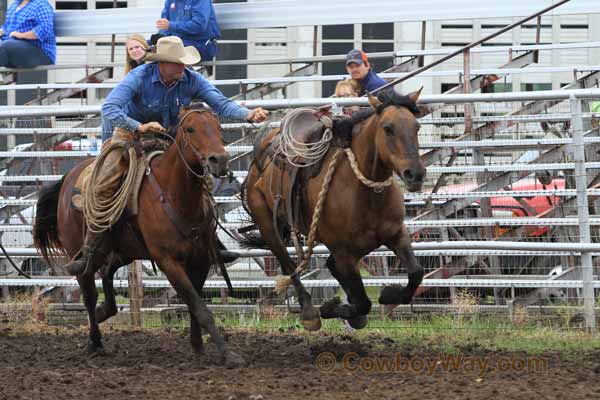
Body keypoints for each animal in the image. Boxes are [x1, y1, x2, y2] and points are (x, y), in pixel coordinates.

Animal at [32, 105, 243, 366]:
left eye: (218, 127)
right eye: (190, 129)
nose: (219, 160)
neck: (174, 194)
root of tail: (67, 178)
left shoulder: (201, 261)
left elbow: (195, 306)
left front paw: (198, 346)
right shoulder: (168, 262)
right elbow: (199, 307)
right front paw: (228, 354)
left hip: (124, 250)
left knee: (108, 272)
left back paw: (105, 311)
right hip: (80, 251)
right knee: (89, 294)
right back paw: (95, 342)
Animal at [241, 90, 424, 332]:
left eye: (416, 127)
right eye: (387, 128)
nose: (416, 174)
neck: (365, 192)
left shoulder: (397, 234)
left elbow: (416, 273)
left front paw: (388, 295)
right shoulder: (343, 252)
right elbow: (363, 302)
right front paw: (333, 308)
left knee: (328, 265)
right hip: (267, 225)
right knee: (289, 264)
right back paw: (310, 312)